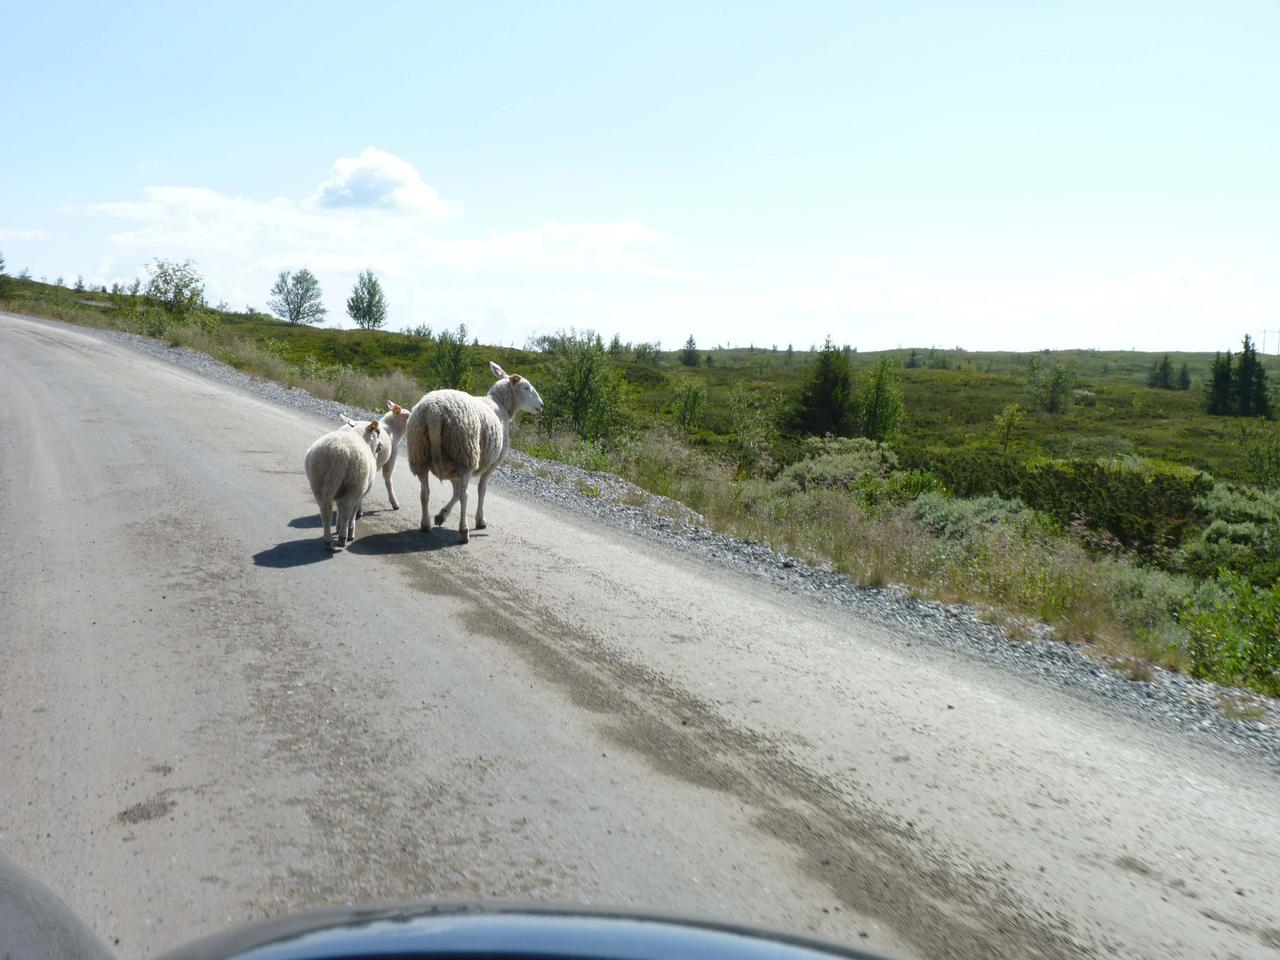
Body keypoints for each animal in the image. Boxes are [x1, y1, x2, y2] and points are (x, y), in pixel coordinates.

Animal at [302, 419, 386, 552]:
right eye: (377, 432)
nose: (381, 446)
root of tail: (338, 453)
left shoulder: (340, 492)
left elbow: (339, 508)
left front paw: (338, 526)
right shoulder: (359, 492)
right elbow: (352, 510)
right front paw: (349, 529)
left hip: (320, 483)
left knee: (325, 512)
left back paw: (328, 541)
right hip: (354, 484)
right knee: (347, 510)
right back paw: (343, 537)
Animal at [409, 360, 545, 542]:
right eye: (526, 387)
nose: (541, 405)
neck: (500, 404)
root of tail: (434, 413)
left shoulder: (452, 467)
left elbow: (455, 490)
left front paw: (442, 515)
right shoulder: (492, 463)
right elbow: (481, 489)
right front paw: (480, 520)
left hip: (421, 452)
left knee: (425, 492)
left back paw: (426, 524)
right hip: (466, 453)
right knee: (464, 496)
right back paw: (464, 531)